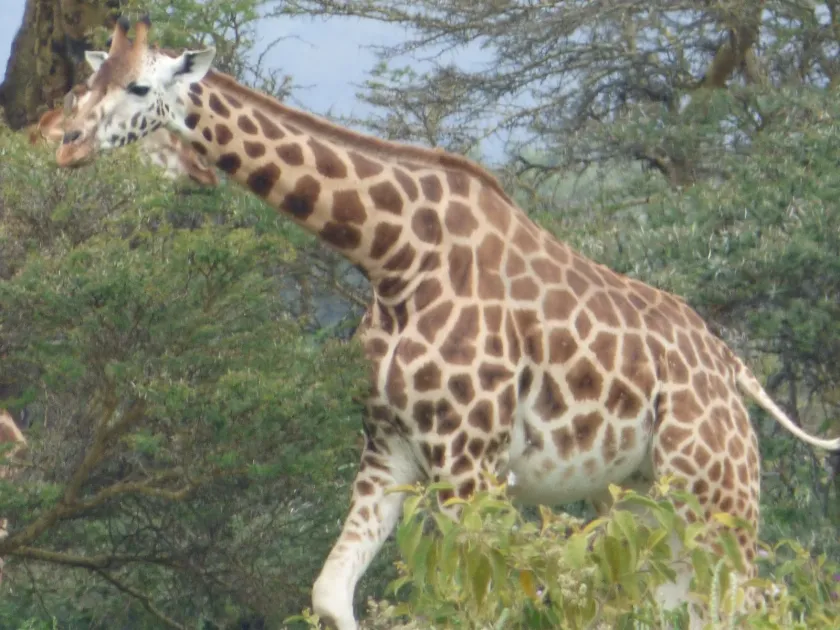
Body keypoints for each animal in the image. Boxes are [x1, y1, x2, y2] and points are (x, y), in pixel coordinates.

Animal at [51, 16, 840, 629]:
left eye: (139, 87)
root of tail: (733, 369)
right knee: (695, 603)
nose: (66, 139)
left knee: (753, 598)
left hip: (716, 487)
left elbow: (481, 605)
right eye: (91, 83)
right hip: (647, 496)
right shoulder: (388, 450)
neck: (393, 259)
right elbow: (331, 594)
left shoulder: (470, 462)